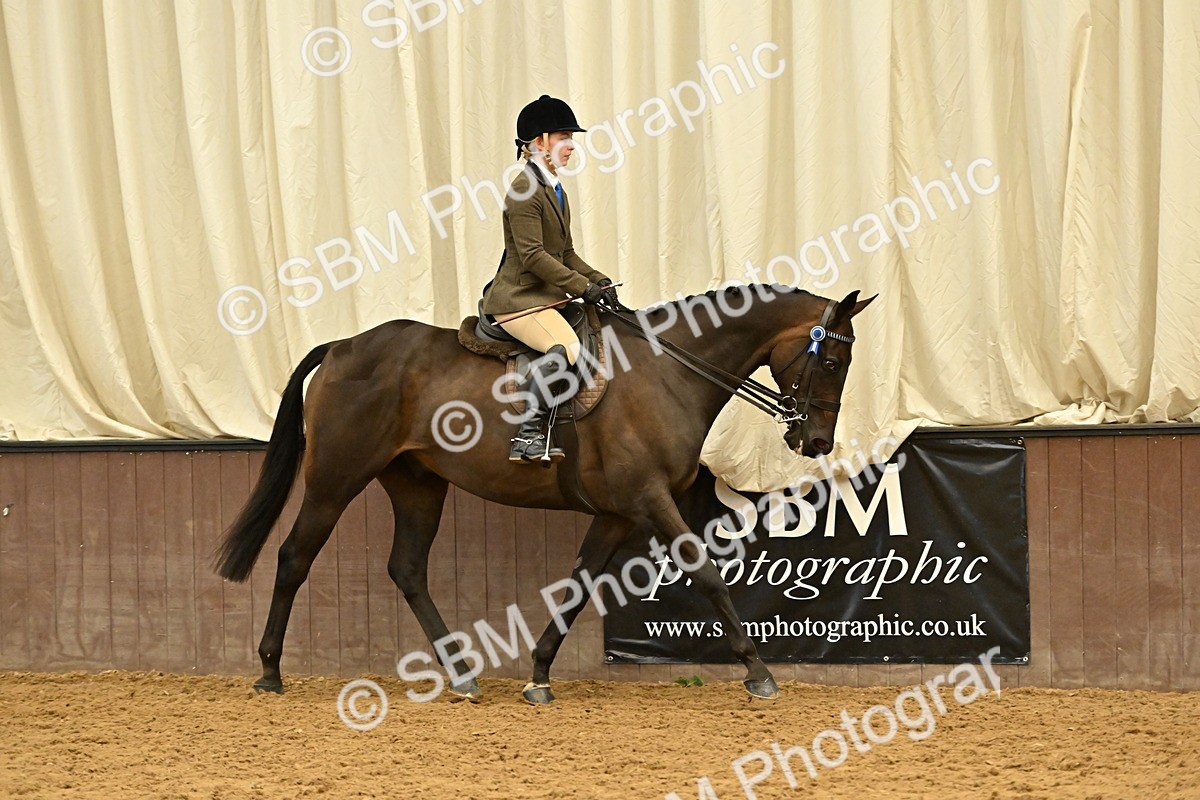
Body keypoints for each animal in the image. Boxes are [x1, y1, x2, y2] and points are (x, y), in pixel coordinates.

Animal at [215, 284, 875, 703]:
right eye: (833, 361)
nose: (816, 440)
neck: (669, 372)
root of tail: (342, 346)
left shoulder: (618, 513)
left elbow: (578, 588)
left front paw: (538, 673)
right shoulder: (649, 500)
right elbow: (708, 575)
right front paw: (758, 671)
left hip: (417, 482)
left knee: (406, 568)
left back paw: (462, 675)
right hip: (336, 477)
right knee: (294, 557)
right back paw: (269, 671)